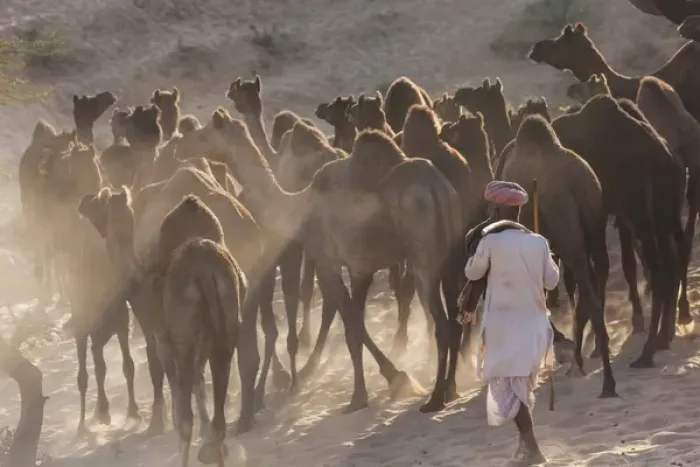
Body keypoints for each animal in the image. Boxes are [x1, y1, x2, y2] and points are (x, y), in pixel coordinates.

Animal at [200, 107, 463, 413]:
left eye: (207, 131)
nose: (182, 148)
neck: (298, 204)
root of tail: (438, 191)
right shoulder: (361, 267)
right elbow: (354, 323)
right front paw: (391, 380)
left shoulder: (328, 261)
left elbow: (351, 325)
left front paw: (366, 393)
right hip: (451, 255)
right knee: (456, 320)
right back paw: (451, 389)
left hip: (425, 258)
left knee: (442, 324)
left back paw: (435, 398)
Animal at [498, 115, 616, 397]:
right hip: (593, 224)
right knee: (594, 279)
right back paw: (593, 366)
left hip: (567, 230)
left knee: (585, 291)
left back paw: (602, 378)